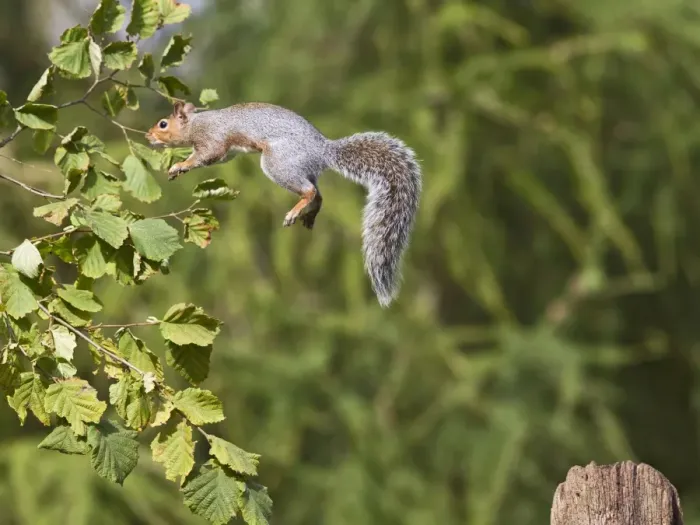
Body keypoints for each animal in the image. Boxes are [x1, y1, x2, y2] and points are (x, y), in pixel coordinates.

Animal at [145, 101, 422, 307]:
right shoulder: (225, 152)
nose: (148, 136)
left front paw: (180, 164)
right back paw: (309, 216)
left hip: (278, 163)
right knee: (319, 195)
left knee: (310, 192)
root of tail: (322, 151)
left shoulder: (212, 139)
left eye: (163, 124)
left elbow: (204, 155)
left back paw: (294, 213)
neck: (196, 123)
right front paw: (178, 168)